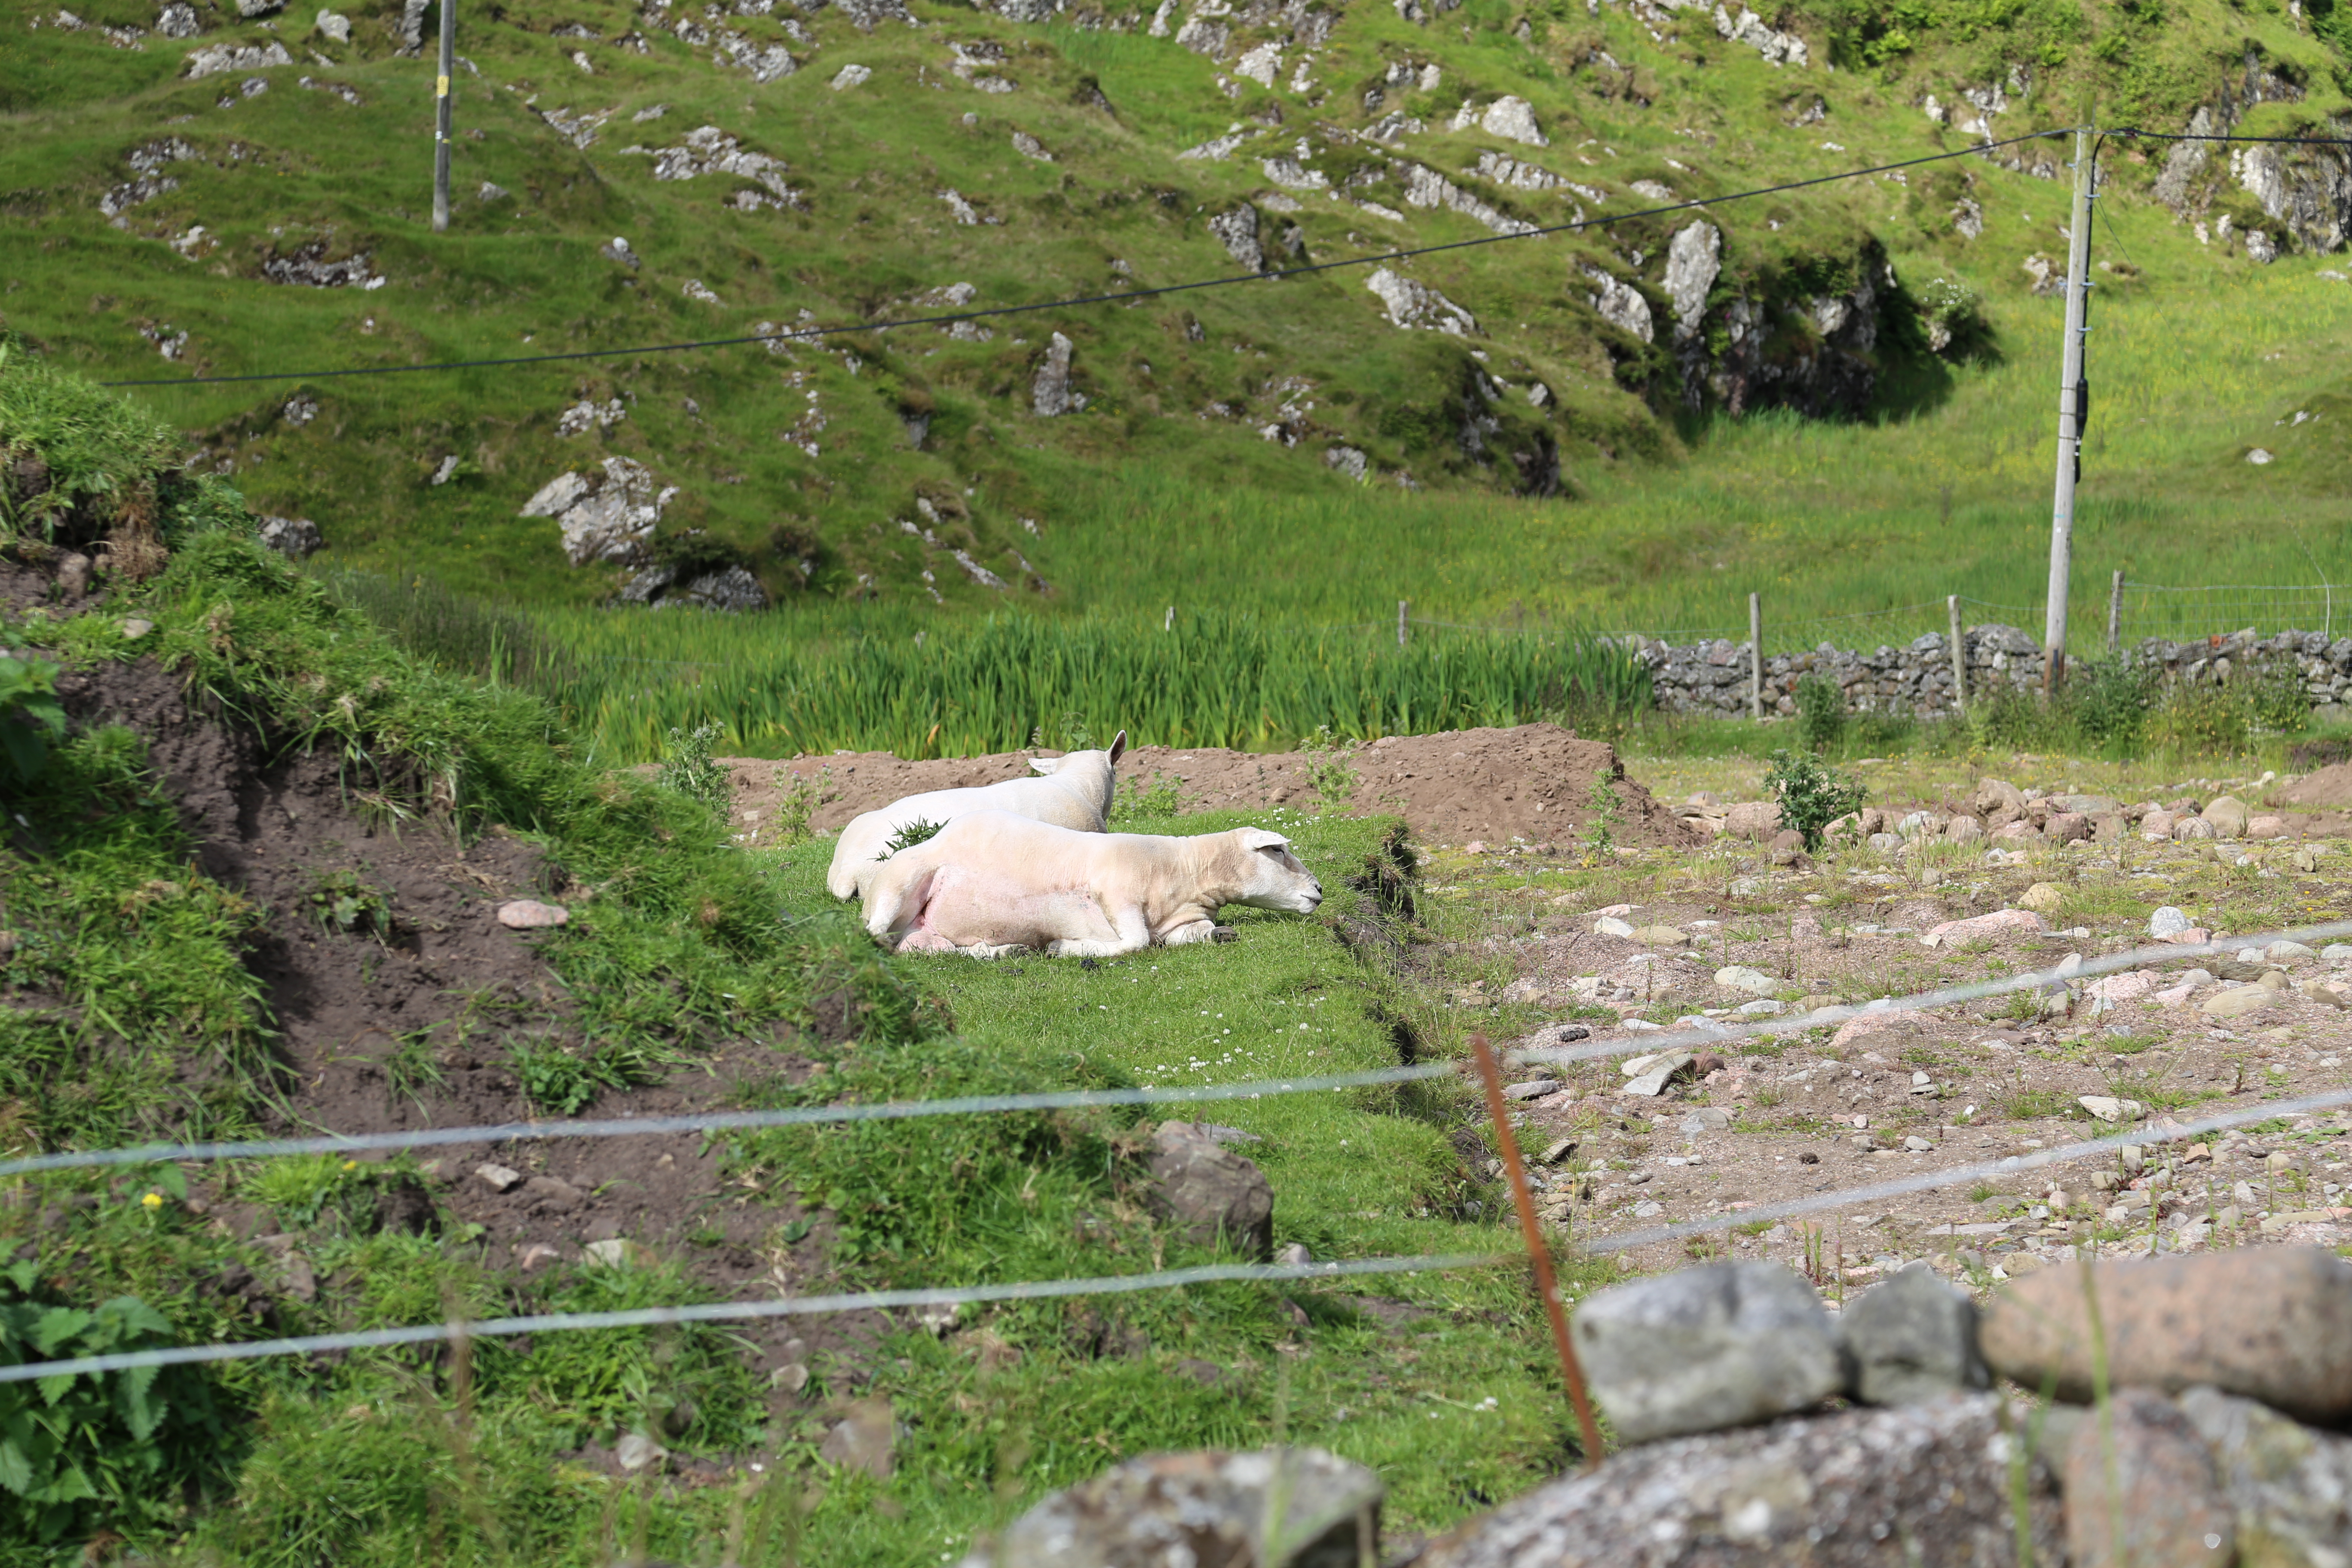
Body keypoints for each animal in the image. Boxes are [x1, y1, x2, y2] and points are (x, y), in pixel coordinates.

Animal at [861, 808, 1326, 959]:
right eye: (1279, 851)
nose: (1320, 891)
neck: (1185, 871)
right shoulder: (1114, 893)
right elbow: (1136, 942)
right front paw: (1065, 948)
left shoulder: (1182, 923)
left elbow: (1194, 936)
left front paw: (1223, 934)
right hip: (900, 885)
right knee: (875, 937)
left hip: (928, 936)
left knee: (938, 952)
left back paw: (1004, 951)